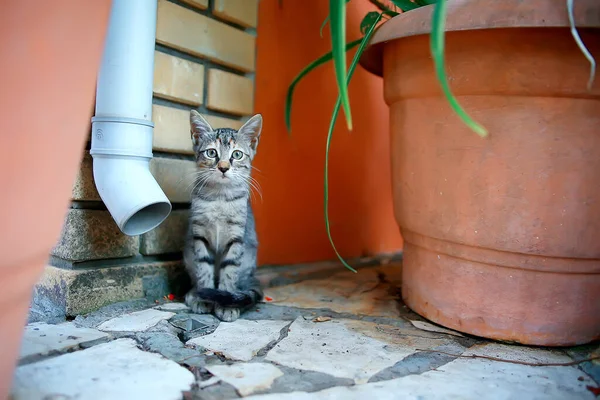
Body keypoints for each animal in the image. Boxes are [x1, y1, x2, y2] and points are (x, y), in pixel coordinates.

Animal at [183, 109, 262, 322]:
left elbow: (229, 271)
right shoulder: (199, 234)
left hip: (248, 258)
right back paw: (194, 293)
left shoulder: (236, 237)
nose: (224, 167)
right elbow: (203, 268)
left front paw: (225, 303)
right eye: (211, 152)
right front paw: (204, 298)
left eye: (237, 154)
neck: (220, 196)